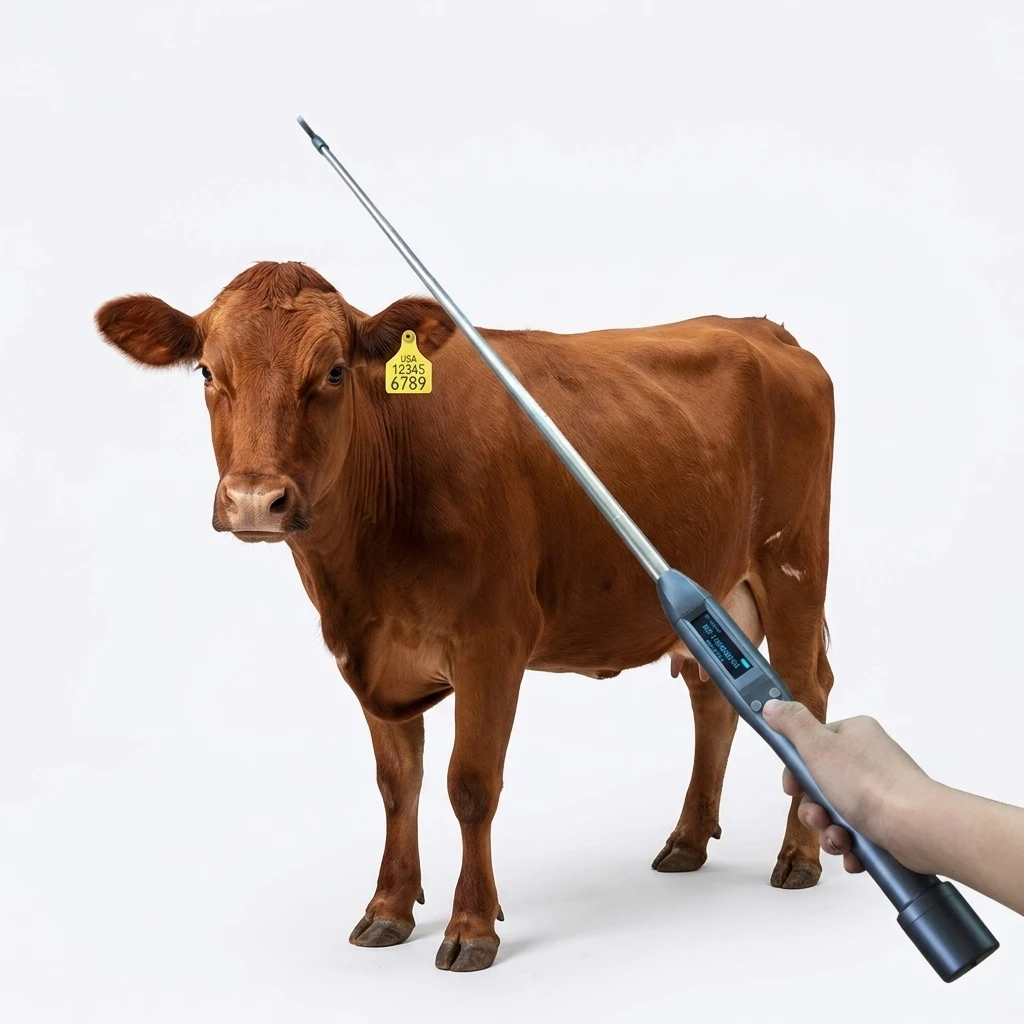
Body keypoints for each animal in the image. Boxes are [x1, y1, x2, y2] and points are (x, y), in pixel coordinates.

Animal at [94, 261, 835, 972]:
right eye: (206, 370)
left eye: (333, 371)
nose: (254, 500)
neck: (363, 576)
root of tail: (764, 329)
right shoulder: (369, 655)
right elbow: (397, 784)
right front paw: (387, 909)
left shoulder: (492, 643)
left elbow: (470, 784)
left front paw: (472, 927)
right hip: (723, 582)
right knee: (713, 698)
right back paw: (686, 840)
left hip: (792, 564)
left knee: (804, 693)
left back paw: (799, 856)